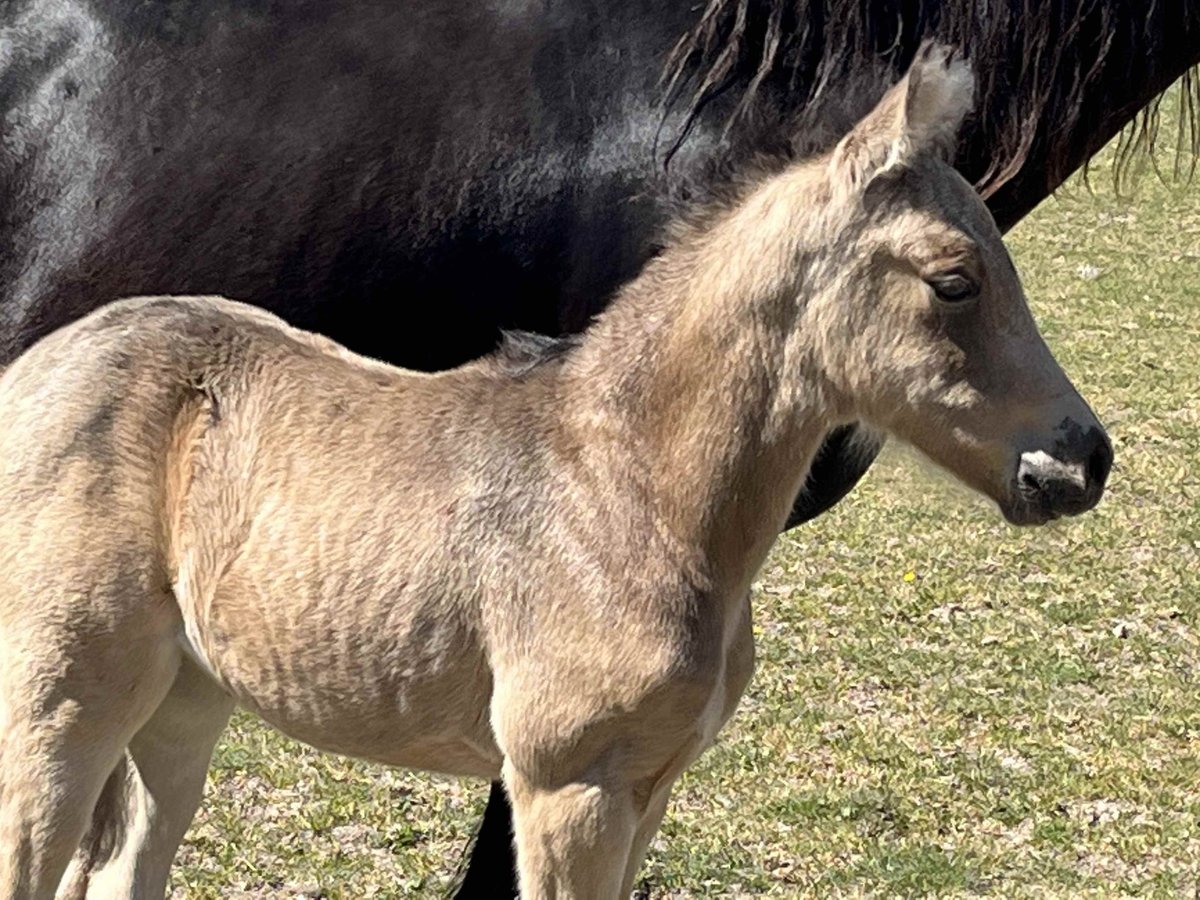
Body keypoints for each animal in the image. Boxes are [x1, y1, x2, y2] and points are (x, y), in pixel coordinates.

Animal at [0, 0, 1195, 897]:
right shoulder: (566, 787)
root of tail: (38, 373)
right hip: (60, 710)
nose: (1080, 459)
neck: (630, 491)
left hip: (180, 705)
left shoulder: (651, 787)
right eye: (955, 280)